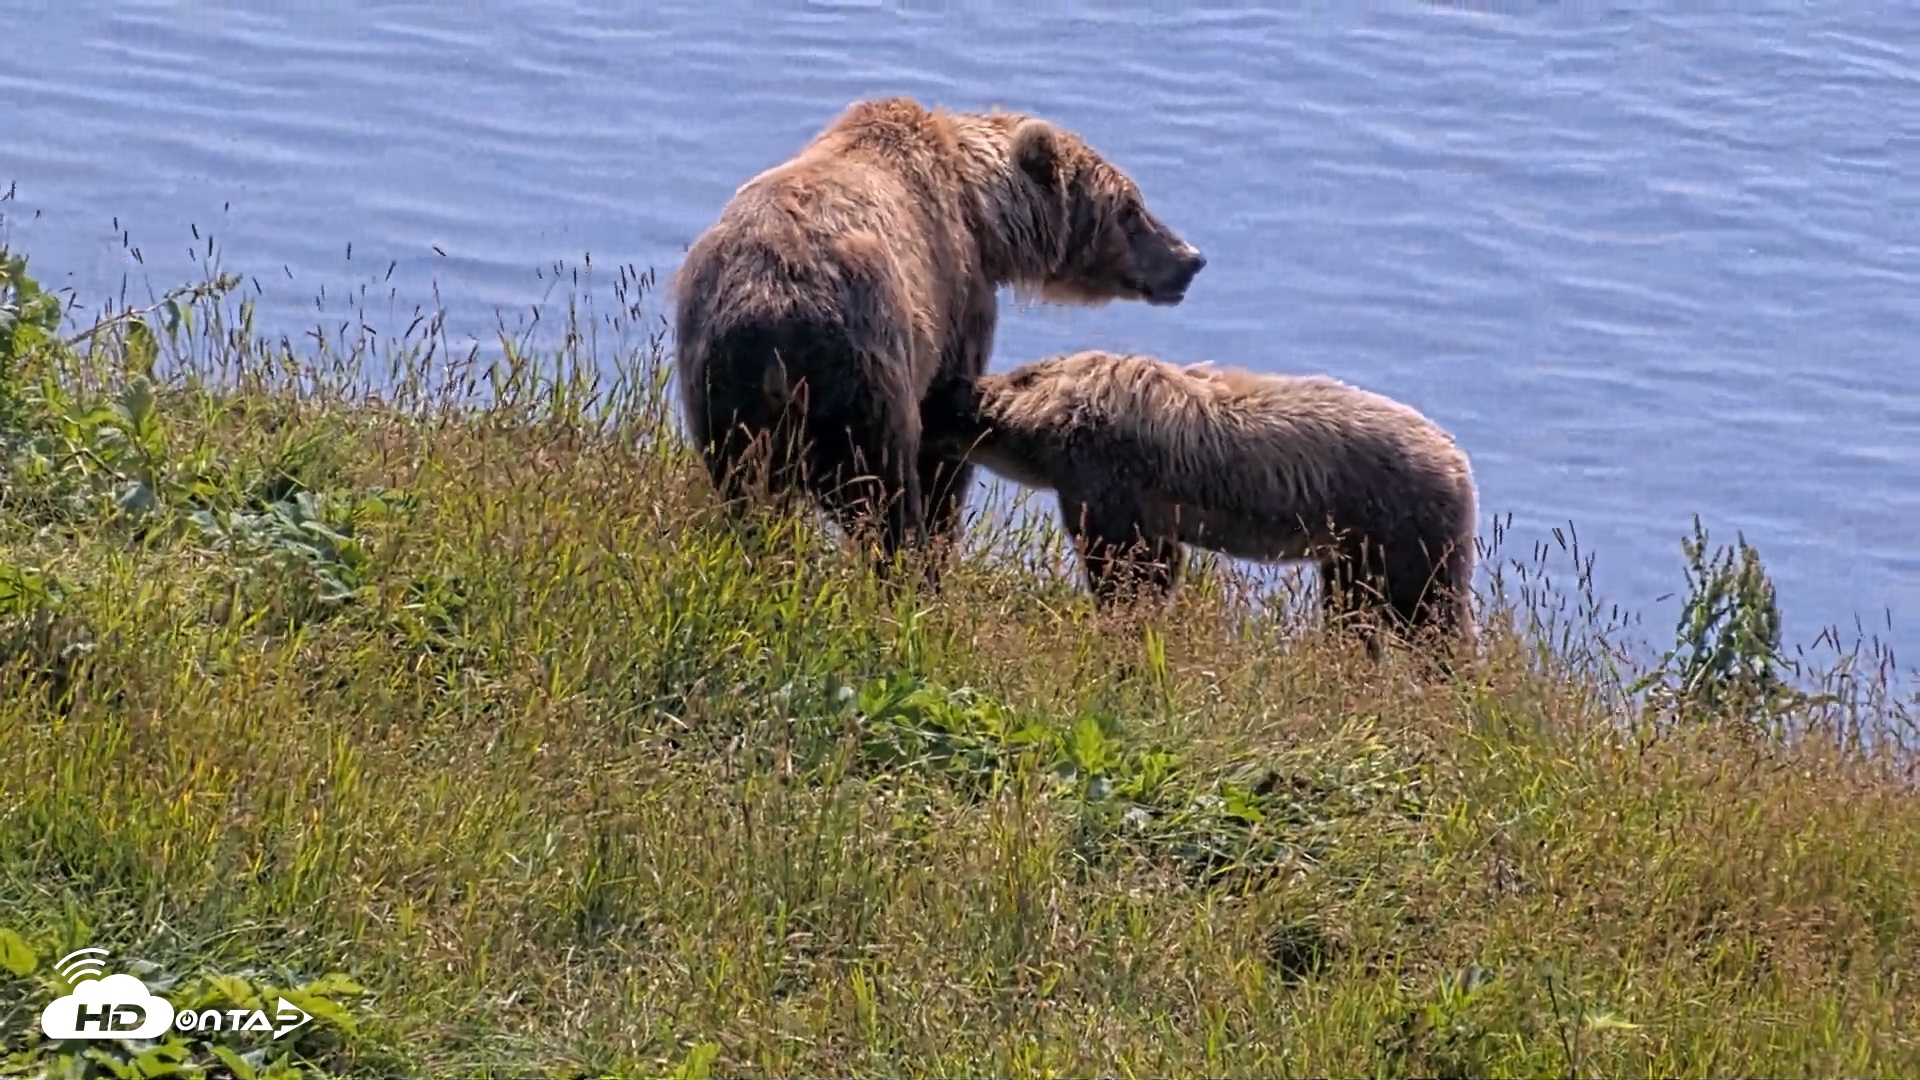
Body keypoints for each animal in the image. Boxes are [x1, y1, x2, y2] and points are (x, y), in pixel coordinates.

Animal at [671, 96, 1207, 581]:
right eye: (1130, 209)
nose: (1191, 258)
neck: (983, 213)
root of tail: (775, 321)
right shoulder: (957, 300)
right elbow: (944, 441)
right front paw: (940, 540)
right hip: (863, 371)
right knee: (883, 493)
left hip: (722, 388)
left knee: (748, 495)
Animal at [919, 349, 1481, 660]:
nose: (937, 397)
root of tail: (1459, 461)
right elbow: (1156, 562)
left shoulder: (1105, 474)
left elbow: (1130, 564)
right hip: (1355, 545)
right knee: (1352, 608)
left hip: (1403, 526)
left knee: (1427, 613)